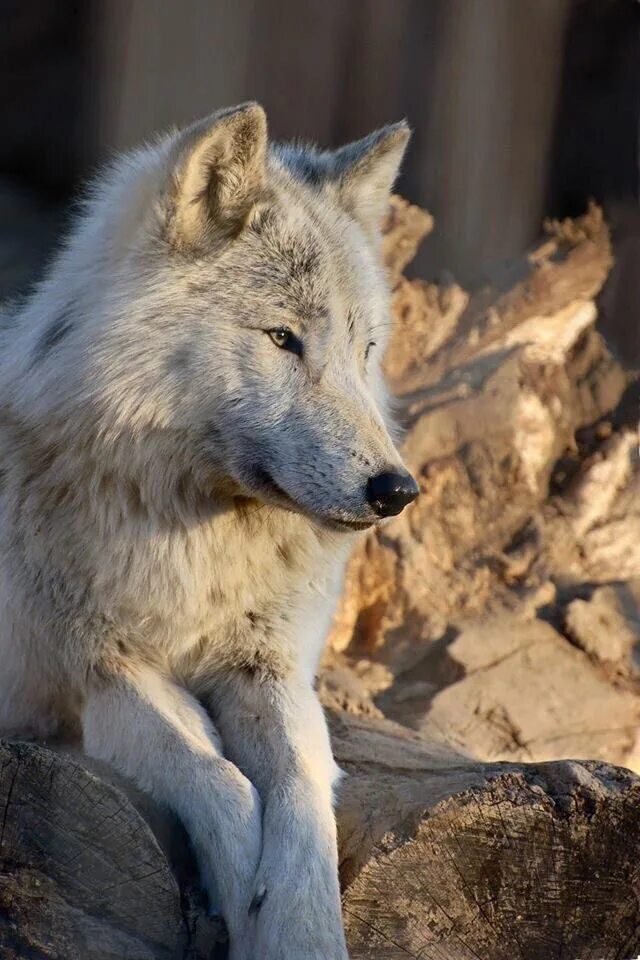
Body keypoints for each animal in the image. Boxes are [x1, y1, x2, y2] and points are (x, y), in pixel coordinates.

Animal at [0, 101, 416, 956]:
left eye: (365, 349)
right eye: (283, 338)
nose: (397, 490)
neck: (195, 543)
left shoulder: (270, 667)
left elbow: (301, 792)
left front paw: (300, 929)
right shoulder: (99, 677)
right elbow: (219, 778)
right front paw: (245, 897)